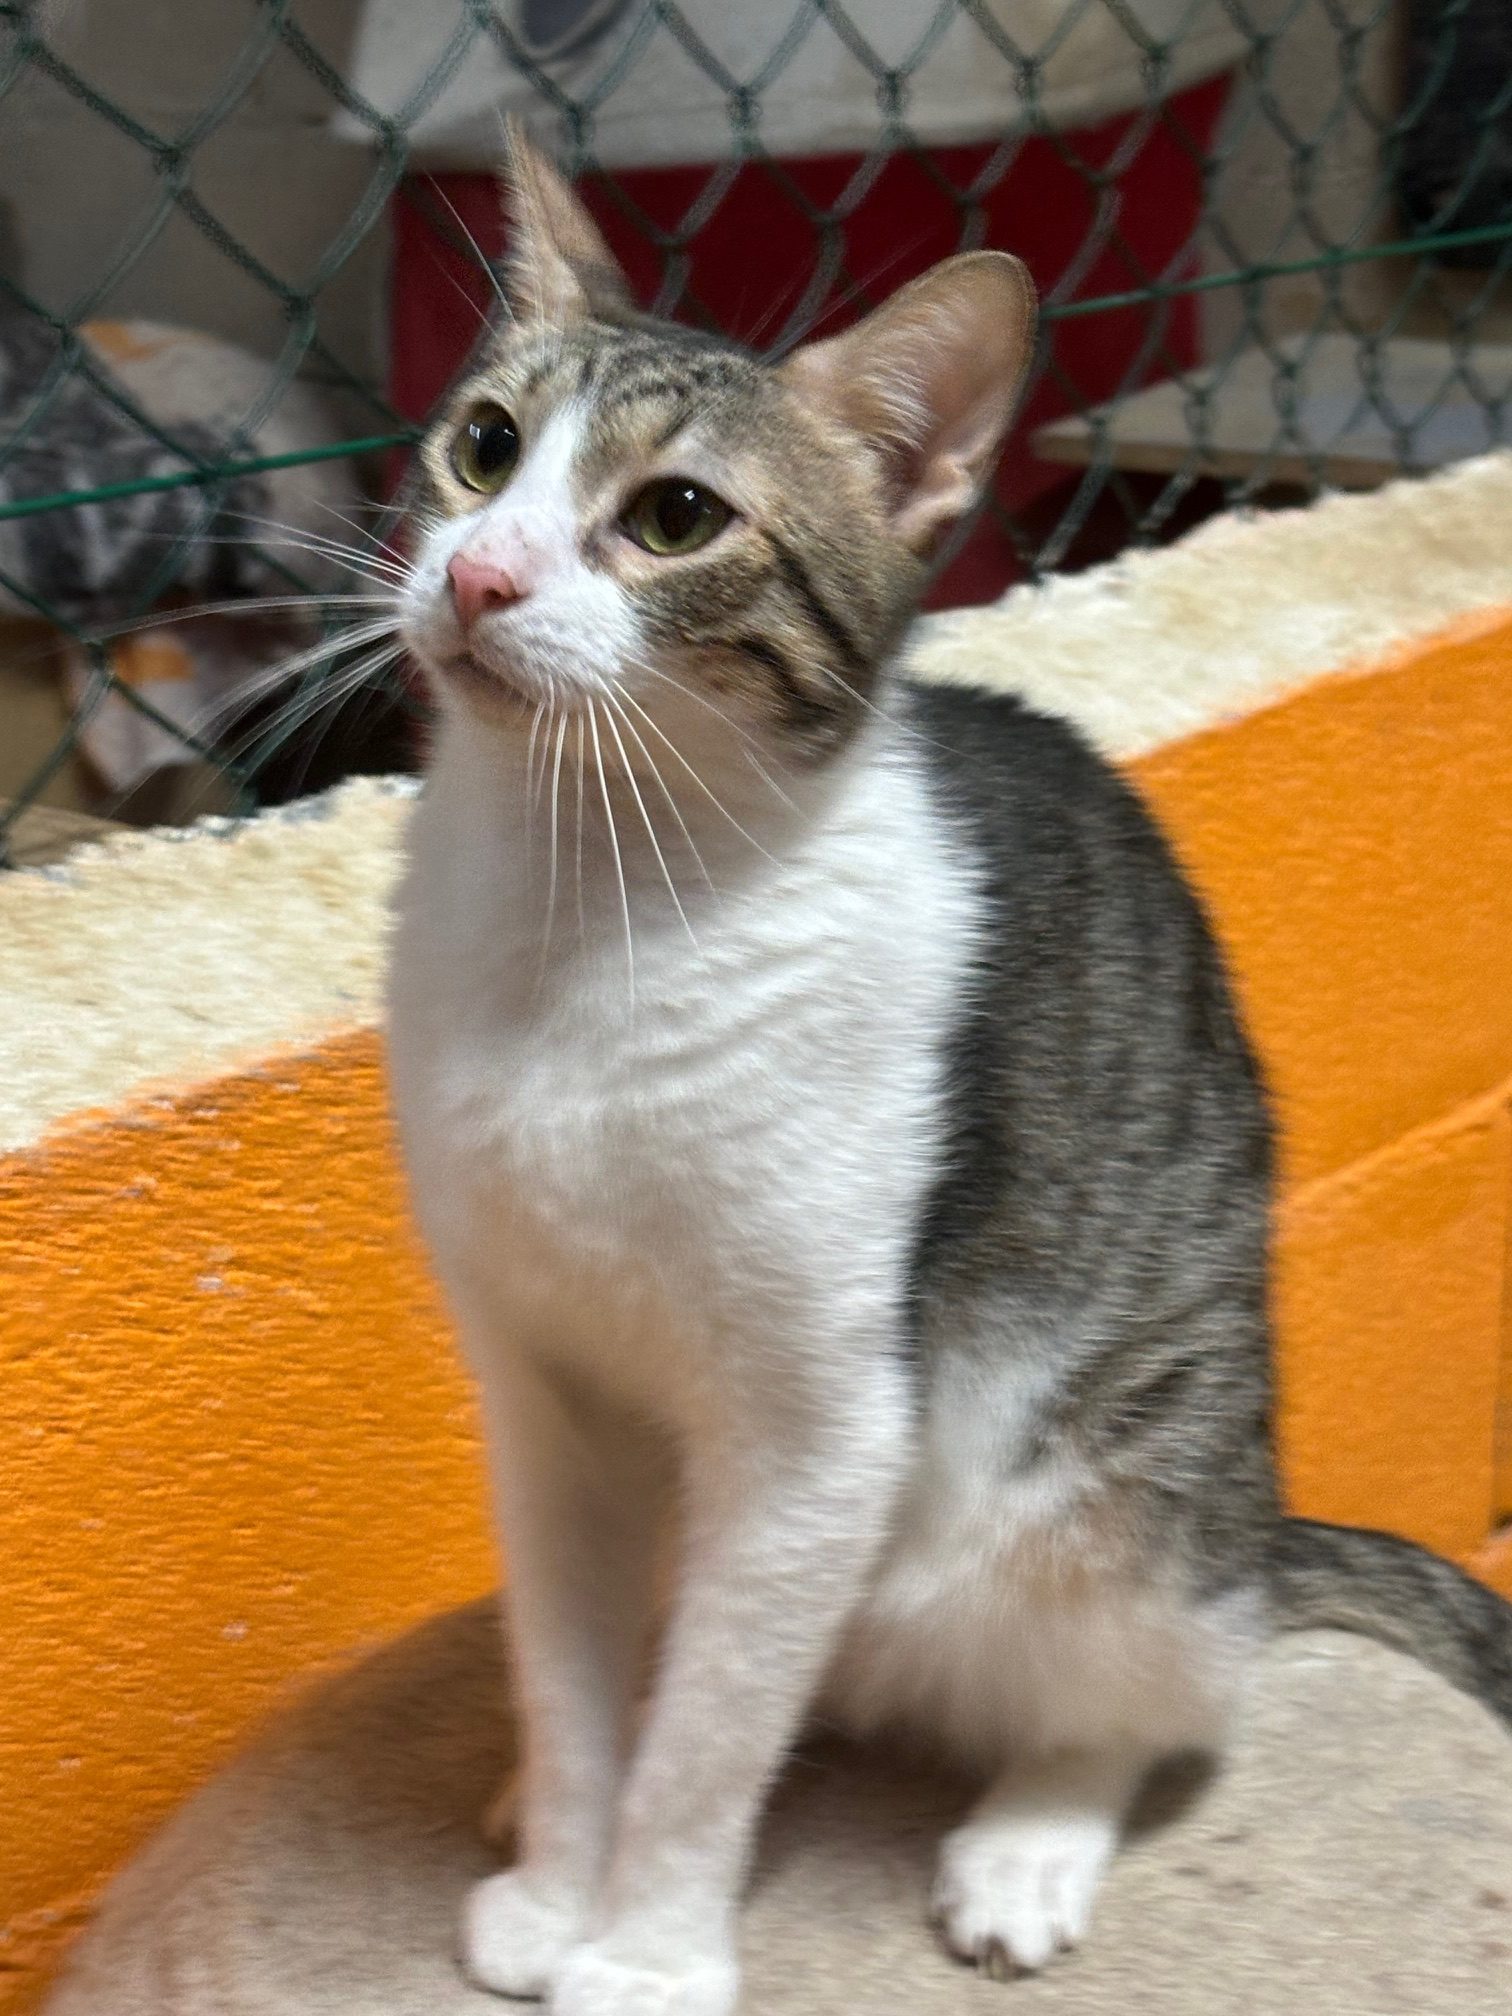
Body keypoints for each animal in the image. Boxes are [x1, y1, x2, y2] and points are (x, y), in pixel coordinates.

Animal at [385, 127, 1512, 2016]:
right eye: (481, 446)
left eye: (674, 516)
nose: (476, 579)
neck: (588, 912)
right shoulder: (535, 1388)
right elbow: (574, 1664)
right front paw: (559, 1874)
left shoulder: (818, 1422)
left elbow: (711, 1740)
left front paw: (646, 1946)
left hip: (1113, 1482)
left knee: (1159, 1683)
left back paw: (1030, 1836)